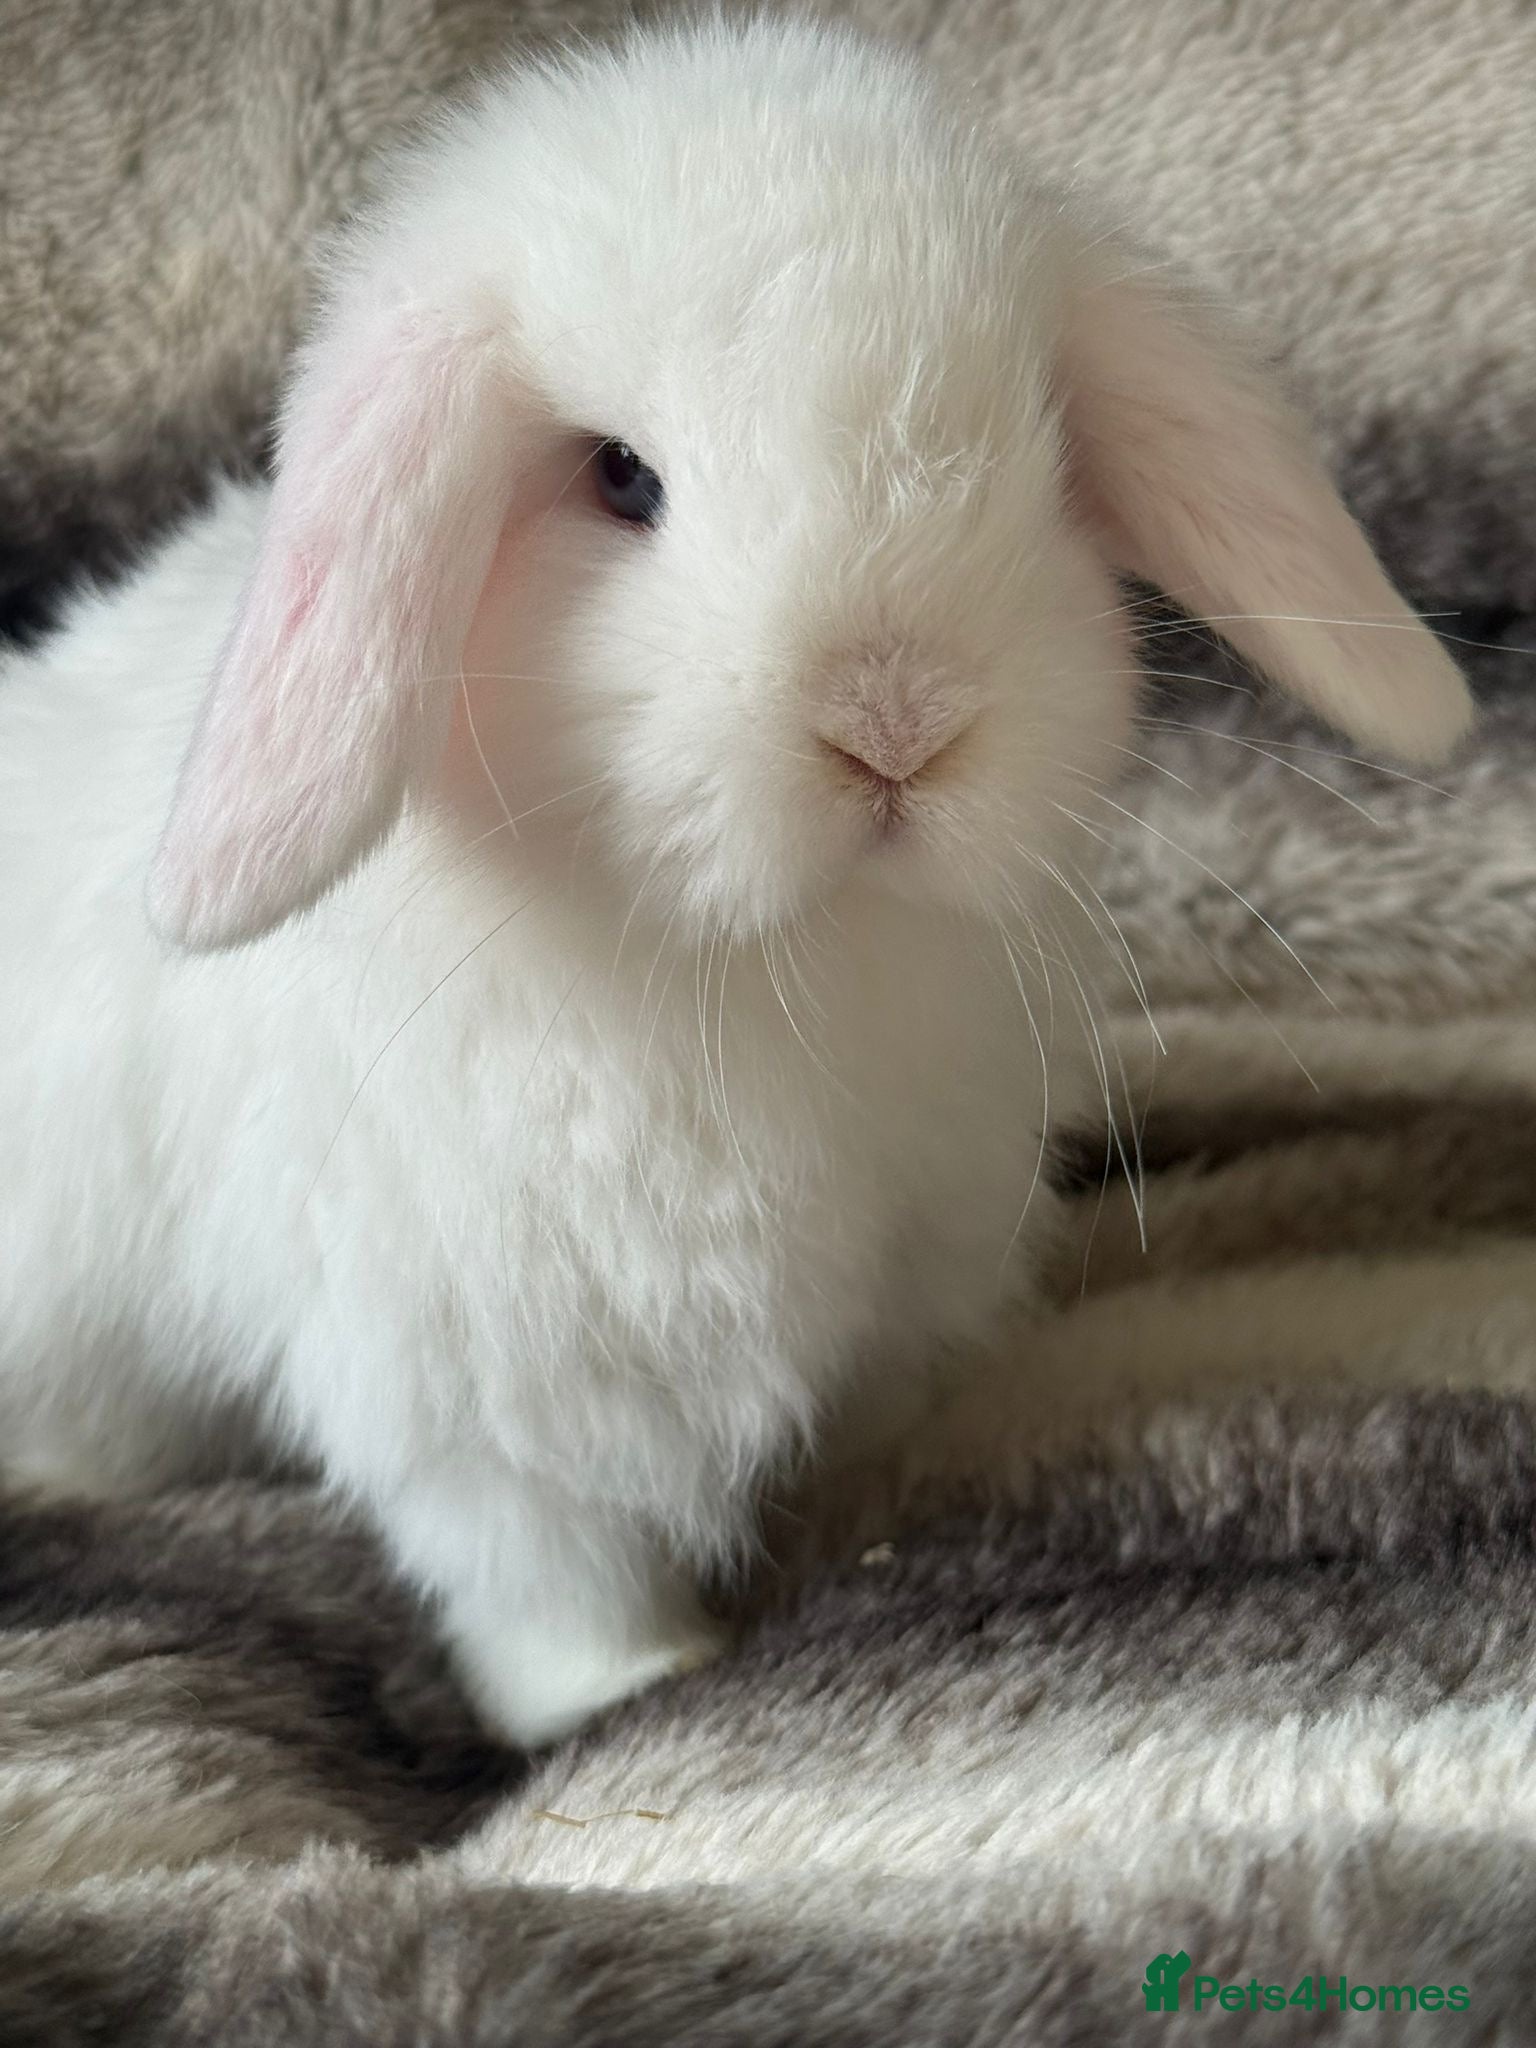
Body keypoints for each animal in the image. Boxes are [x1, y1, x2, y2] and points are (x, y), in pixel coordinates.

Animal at [0, 16, 1470, 1747]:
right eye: (620, 480)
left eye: (1042, 442)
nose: (897, 722)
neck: (781, 963)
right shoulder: (481, 1395)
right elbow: (537, 1574)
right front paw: (626, 1691)